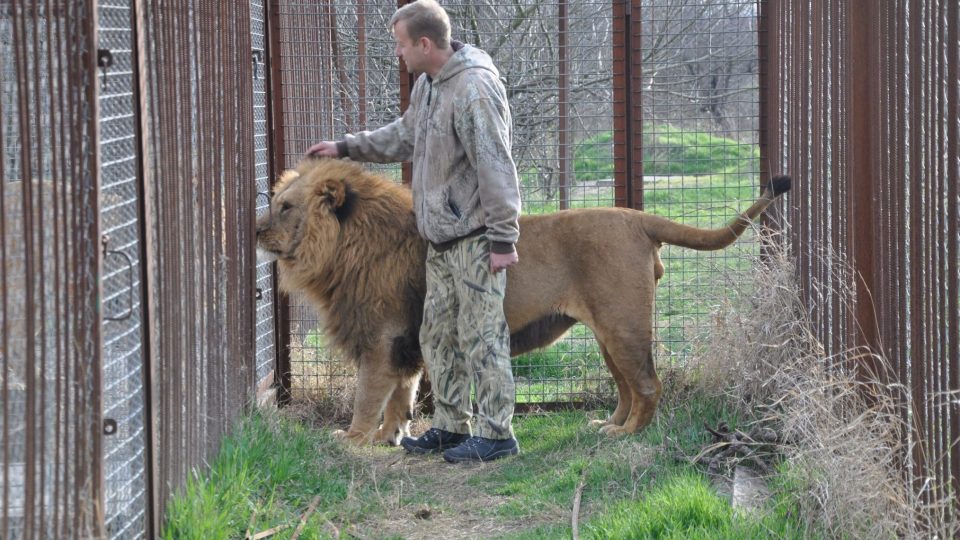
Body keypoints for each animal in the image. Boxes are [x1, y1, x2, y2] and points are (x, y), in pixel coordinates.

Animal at [255, 158, 788, 446]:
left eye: (285, 207)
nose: (256, 229)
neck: (343, 249)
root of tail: (638, 218)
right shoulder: (403, 343)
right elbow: (400, 399)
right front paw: (392, 437)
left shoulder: (381, 340)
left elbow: (369, 398)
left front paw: (352, 439)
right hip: (608, 335)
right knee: (627, 387)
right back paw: (608, 424)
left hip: (623, 327)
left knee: (649, 385)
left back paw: (627, 435)